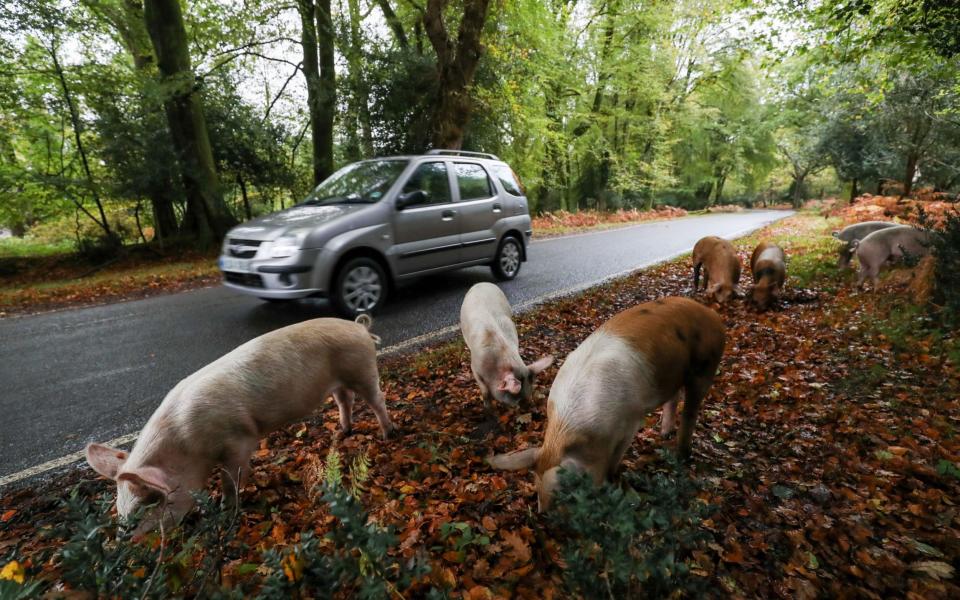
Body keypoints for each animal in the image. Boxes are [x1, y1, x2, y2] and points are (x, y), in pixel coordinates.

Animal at [83, 316, 394, 532]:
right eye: (121, 511)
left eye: (147, 505)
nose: (132, 542)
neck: (187, 445)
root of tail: (359, 328)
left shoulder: (239, 440)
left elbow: (231, 479)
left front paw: (227, 508)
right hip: (340, 381)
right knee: (345, 399)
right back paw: (343, 431)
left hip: (362, 369)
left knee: (377, 399)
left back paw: (388, 434)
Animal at [492, 296, 724, 510]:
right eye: (536, 485)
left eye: (565, 492)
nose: (543, 514)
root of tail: (712, 315)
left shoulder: (631, 420)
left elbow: (615, 458)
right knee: (674, 397)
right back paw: (664, 434)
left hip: (706, 366)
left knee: (692, 409)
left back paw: (682, 455)